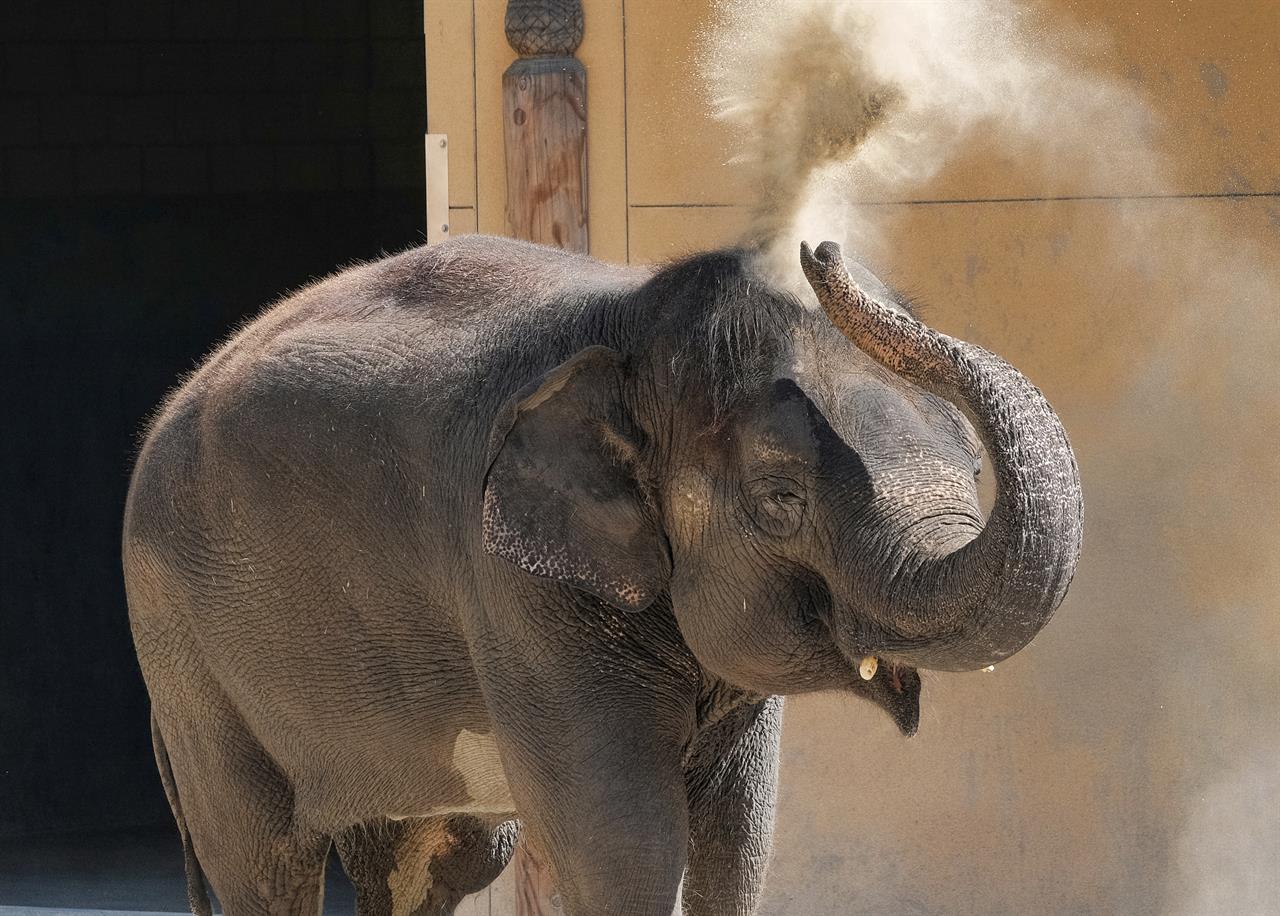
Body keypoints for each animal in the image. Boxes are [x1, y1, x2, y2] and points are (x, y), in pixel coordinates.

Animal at [122, 237, 1080, 916]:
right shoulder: (513, 588)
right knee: (263, 861)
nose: (820, 250)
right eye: (781, 497)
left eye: (972, 465)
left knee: (438, 860)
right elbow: (626, 842)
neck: (633, 328)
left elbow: (738, 839)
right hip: (187, 653)